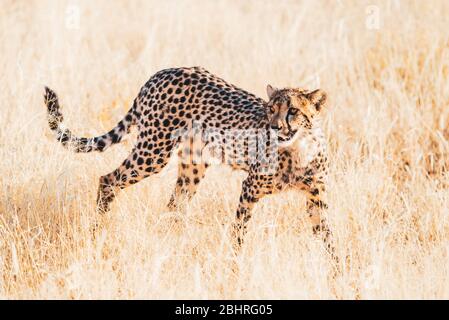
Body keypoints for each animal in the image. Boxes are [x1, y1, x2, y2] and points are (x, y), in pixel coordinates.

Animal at [43, 66, 334, 254]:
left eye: (293, 111)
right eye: (270, 109)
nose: (274, 127)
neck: (298, 150)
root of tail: (163, 72)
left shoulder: (316, 197)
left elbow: (328, 235)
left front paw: (336, 270)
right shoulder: (250, 189)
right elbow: (239, 231)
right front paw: (235, 263)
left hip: (192, 165)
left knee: (174, 205)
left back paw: (171, 241)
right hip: (154, 151)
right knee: (108, 179)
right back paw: (96, 231)